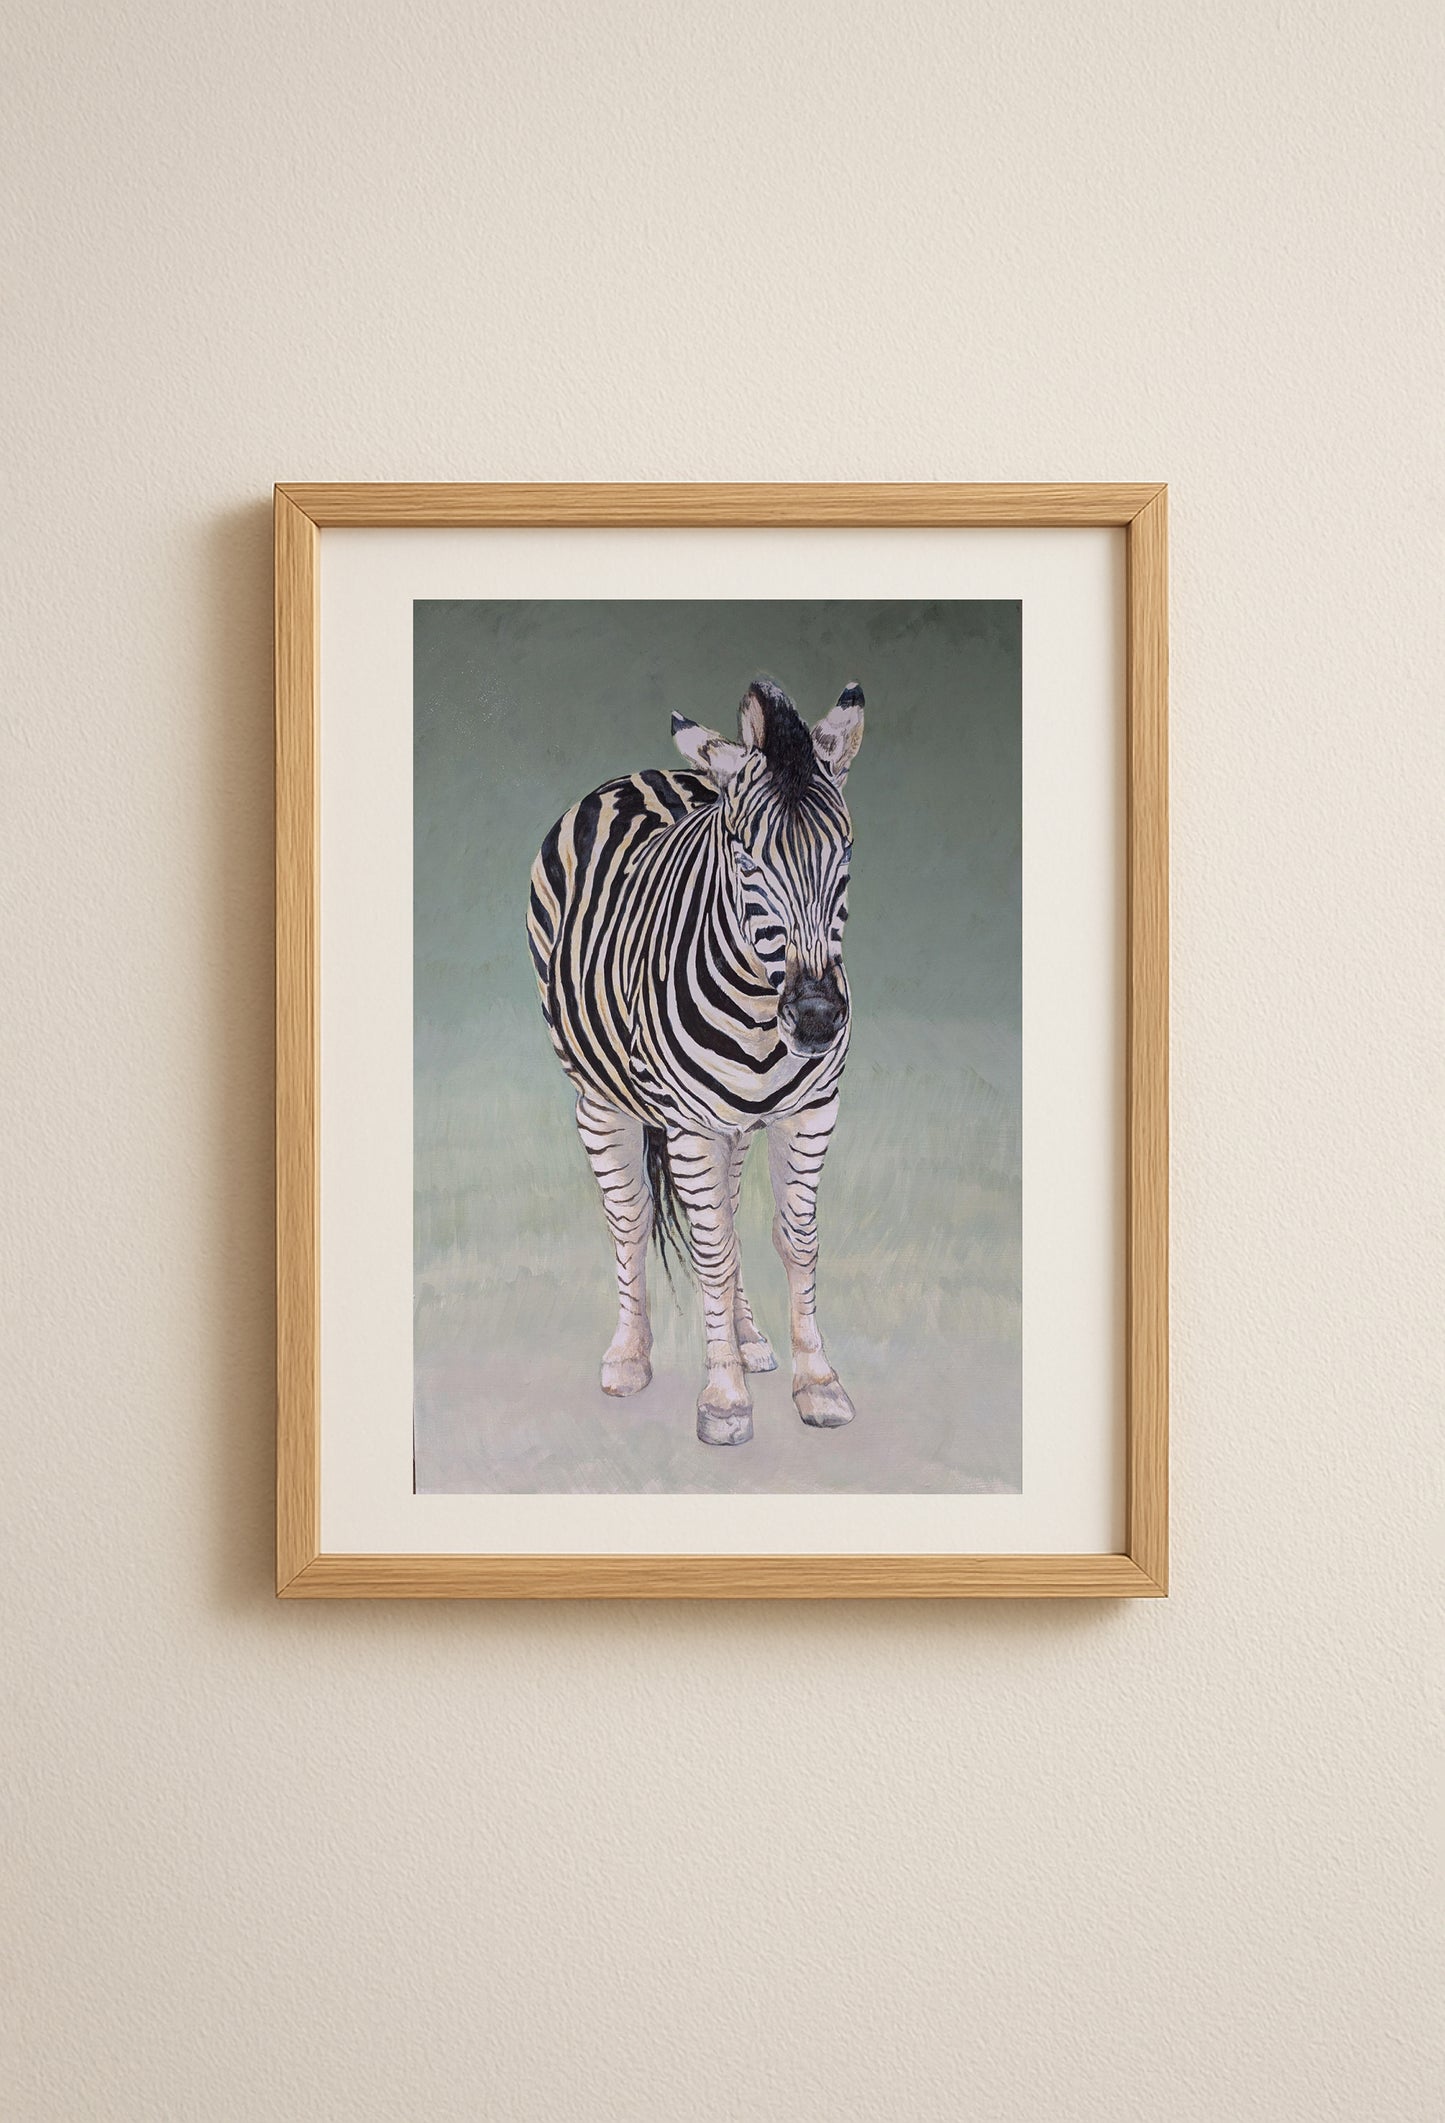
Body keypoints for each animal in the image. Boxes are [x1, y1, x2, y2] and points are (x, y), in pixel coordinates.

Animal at [527, 675, 865, 1446]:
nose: (816, 1017)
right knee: (628, 1218)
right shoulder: (688, 1123)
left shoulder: (811, 1110)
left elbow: (795, 1240)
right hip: (599, 1099)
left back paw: (747, 1339)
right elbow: (708, 1250)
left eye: (844, 856)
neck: (761, 1010)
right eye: (745, 862)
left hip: (731, 1125)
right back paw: (628, 1358)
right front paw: (724, 1399)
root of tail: (642, 773)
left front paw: (816, 1383)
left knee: (729, 1216)